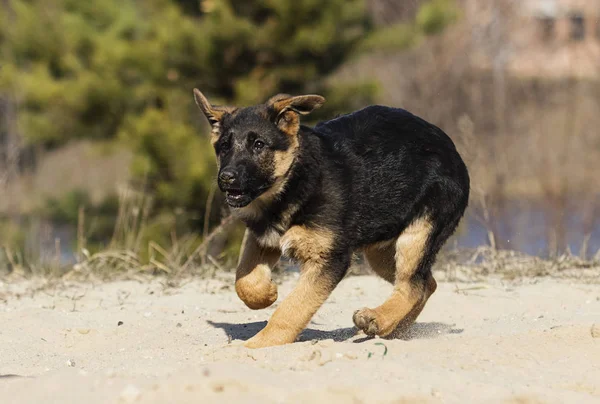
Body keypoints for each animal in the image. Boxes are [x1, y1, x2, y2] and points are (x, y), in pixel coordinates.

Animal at [195, 90, 472, 348]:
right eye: (224, 146)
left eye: (259, 145)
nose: (226, 178)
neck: (293, 183)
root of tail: (450, 148)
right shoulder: (262, 238)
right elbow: (245, 280)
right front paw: (267, 294)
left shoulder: (329, 259)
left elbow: (293, 308)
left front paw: (259, 345)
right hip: (381, 250)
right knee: (426, 283)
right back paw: (395, 329)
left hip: (417, 236)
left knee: (413, 285)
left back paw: (377, 319)